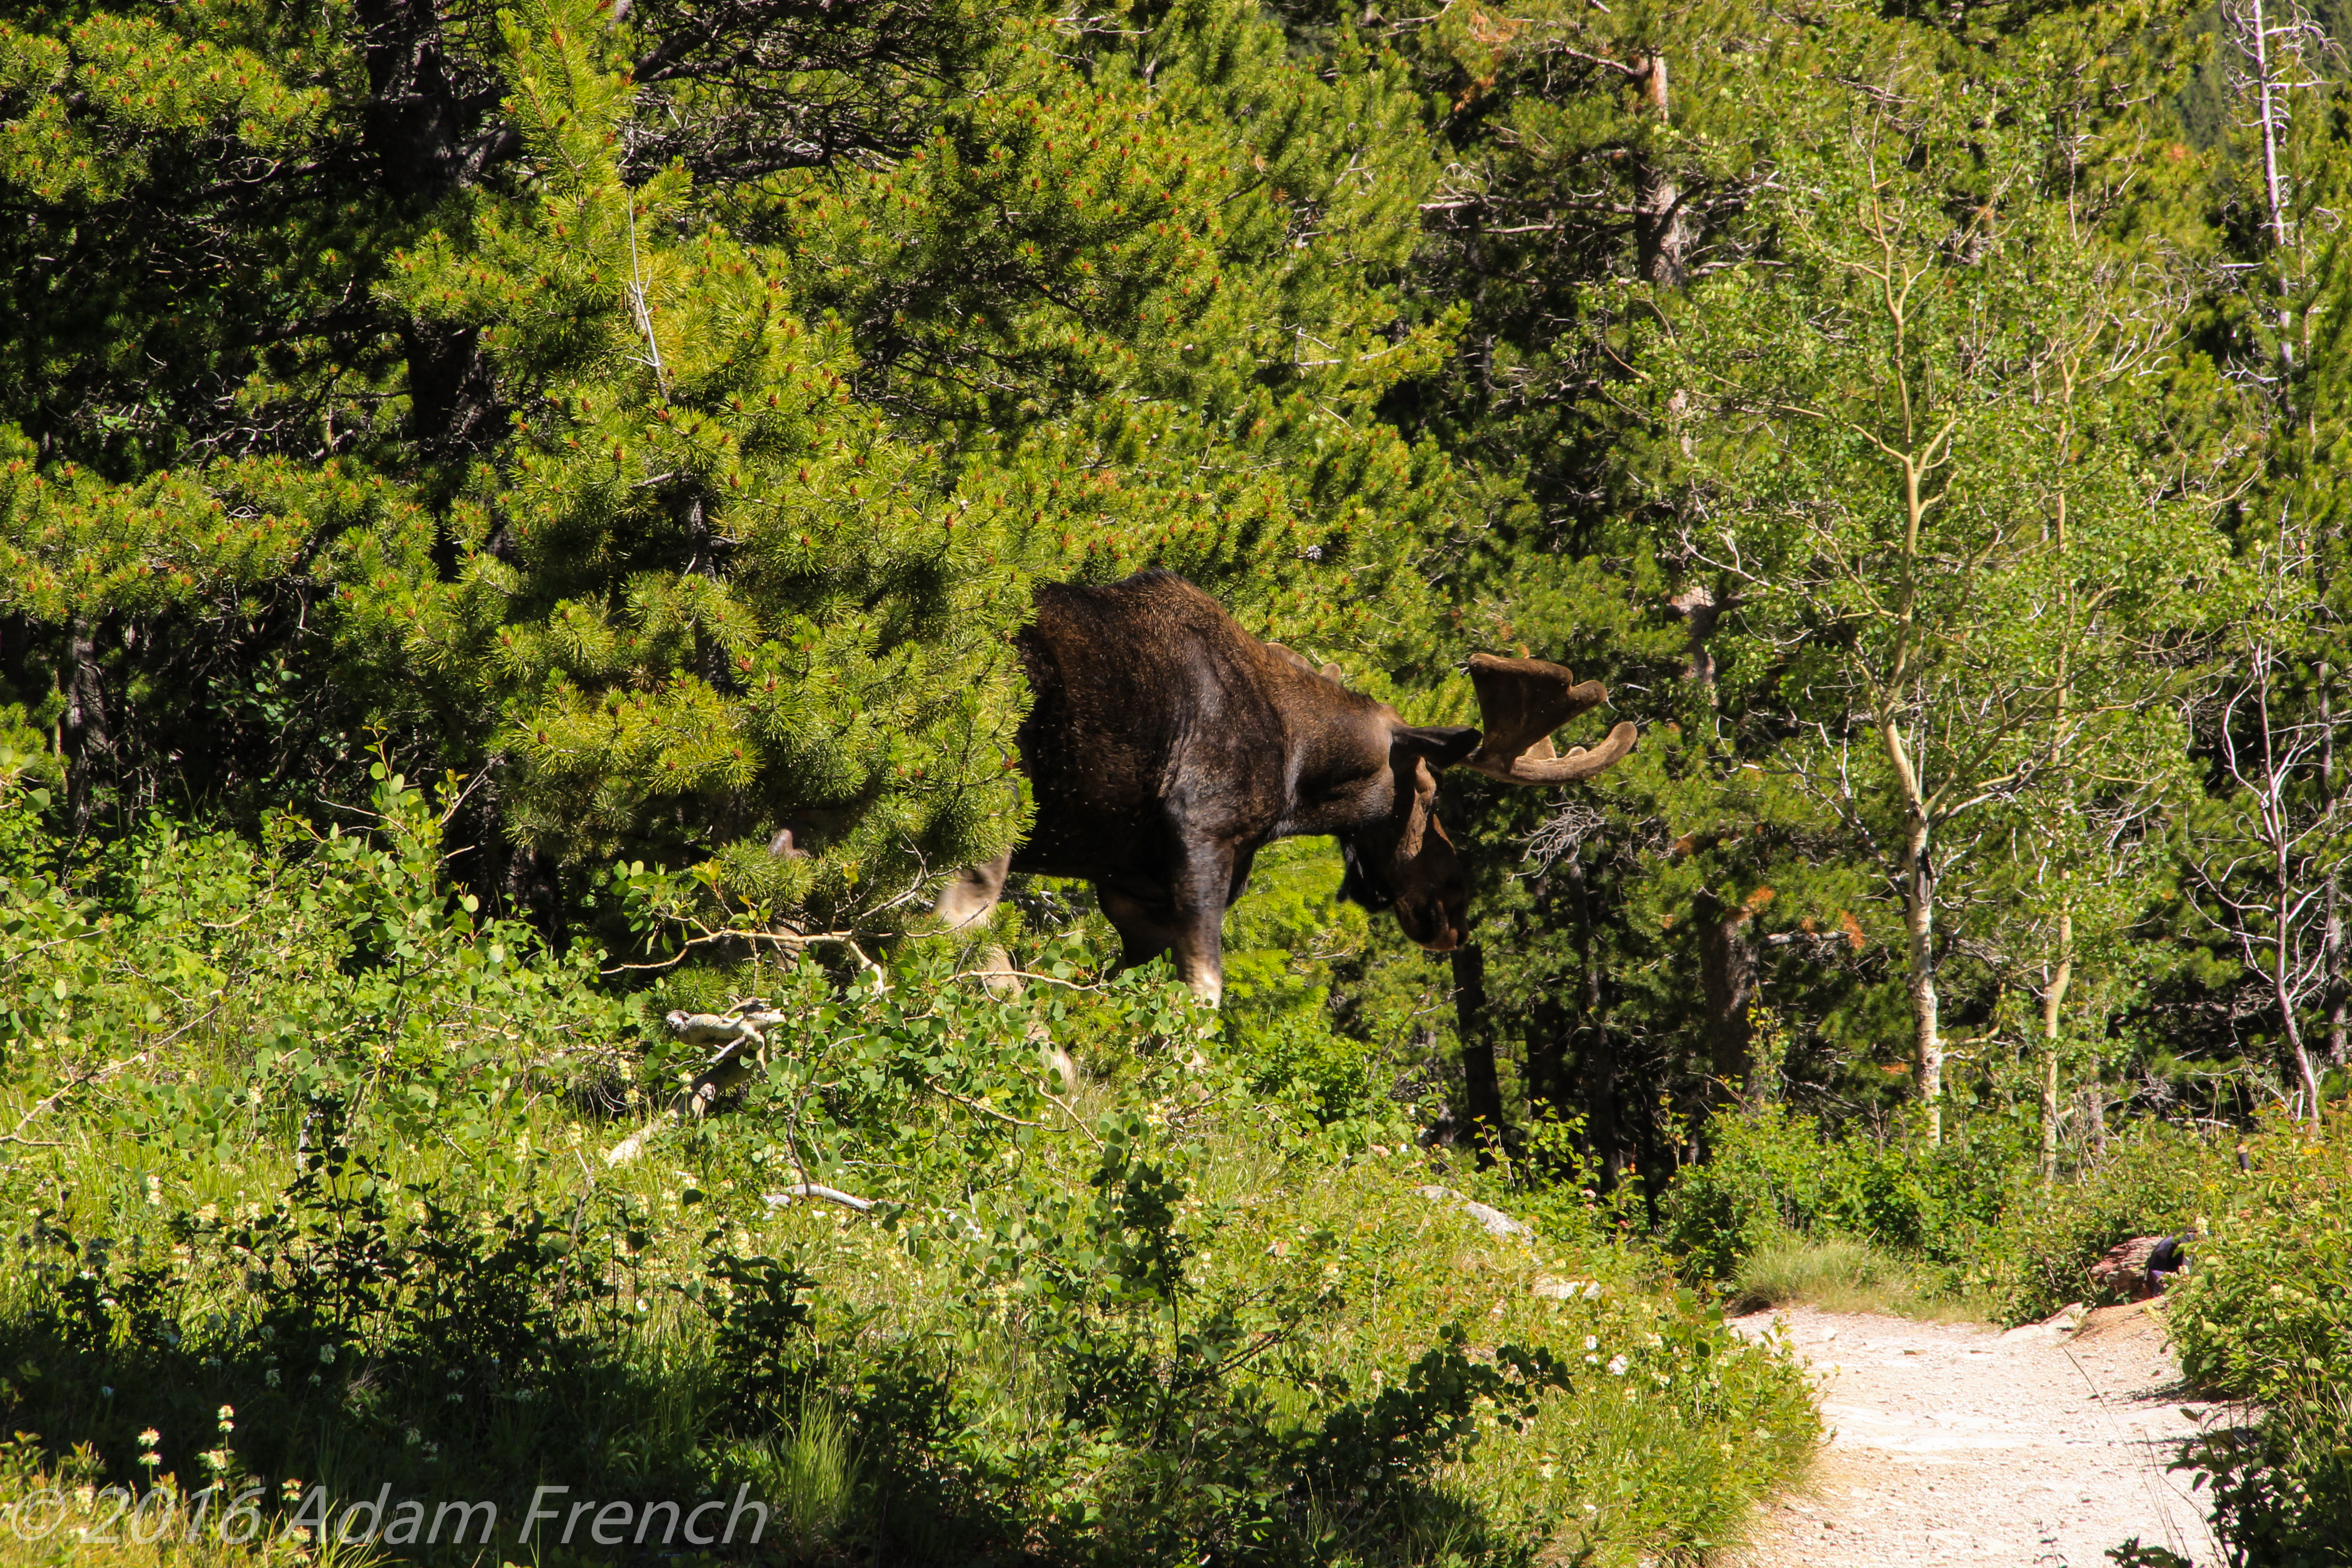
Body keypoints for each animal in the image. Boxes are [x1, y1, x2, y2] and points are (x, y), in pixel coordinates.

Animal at [936, 571, 1637, 1001]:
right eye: (1429, 792)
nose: (1456, 905)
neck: (1298, 770)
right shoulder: (1202, 837)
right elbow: (1203, 998)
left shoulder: (1132, 890)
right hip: (990, 810)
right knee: (959, 929)